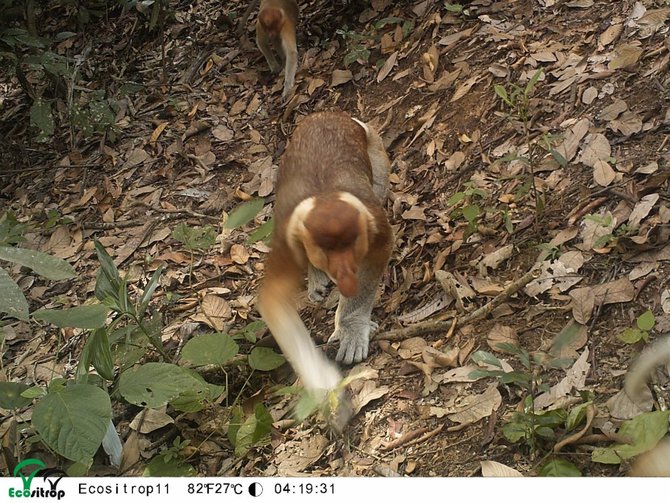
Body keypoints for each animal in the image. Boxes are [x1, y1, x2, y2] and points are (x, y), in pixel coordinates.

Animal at [258, 111, 394, 398]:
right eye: (328, 252)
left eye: (350, 248)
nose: (345, 278)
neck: (324, 196)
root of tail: (323, 114)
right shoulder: (287, 240)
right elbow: (273, 299)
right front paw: (322, 379)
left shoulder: (373, 223)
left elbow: (375, 260)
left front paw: (351, 328)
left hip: (375, 146)